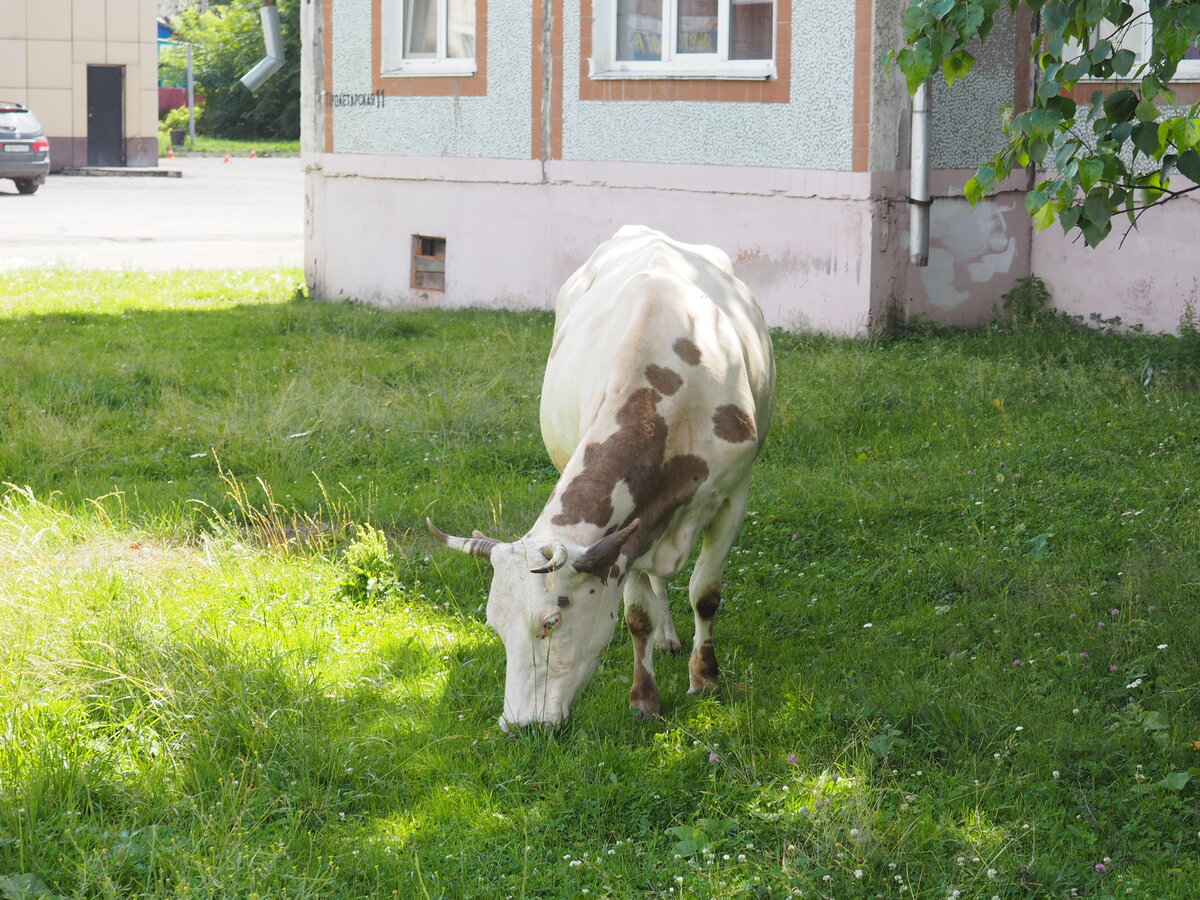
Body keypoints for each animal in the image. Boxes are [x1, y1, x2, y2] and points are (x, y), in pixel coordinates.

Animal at [432, 225, 777, 734]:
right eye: (496, 626)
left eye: (551, 622)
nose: (518, 725)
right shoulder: (629, 532)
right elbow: (637, 615)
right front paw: (644, 697)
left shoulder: (734, 493)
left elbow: (706, 595)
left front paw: (705, 678)